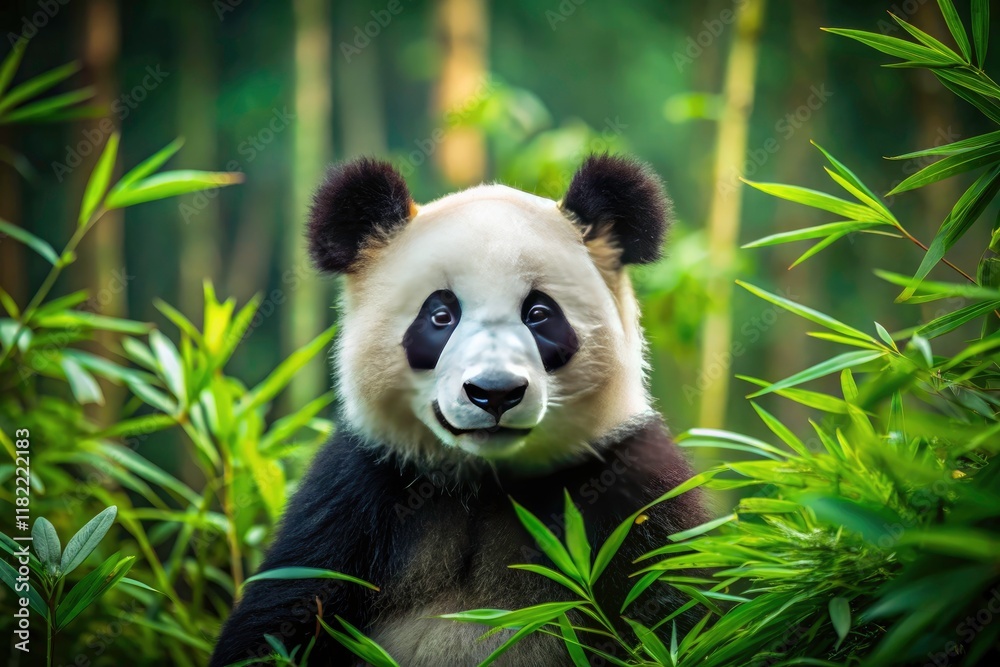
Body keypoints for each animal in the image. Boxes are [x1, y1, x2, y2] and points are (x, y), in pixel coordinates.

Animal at [210, 154, 708, 667]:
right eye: (440, 316)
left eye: (538, 314)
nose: (495, 393)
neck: (485, 482)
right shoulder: (356, 494)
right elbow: (281, 617)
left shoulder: (628, 486)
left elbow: (677, 606)